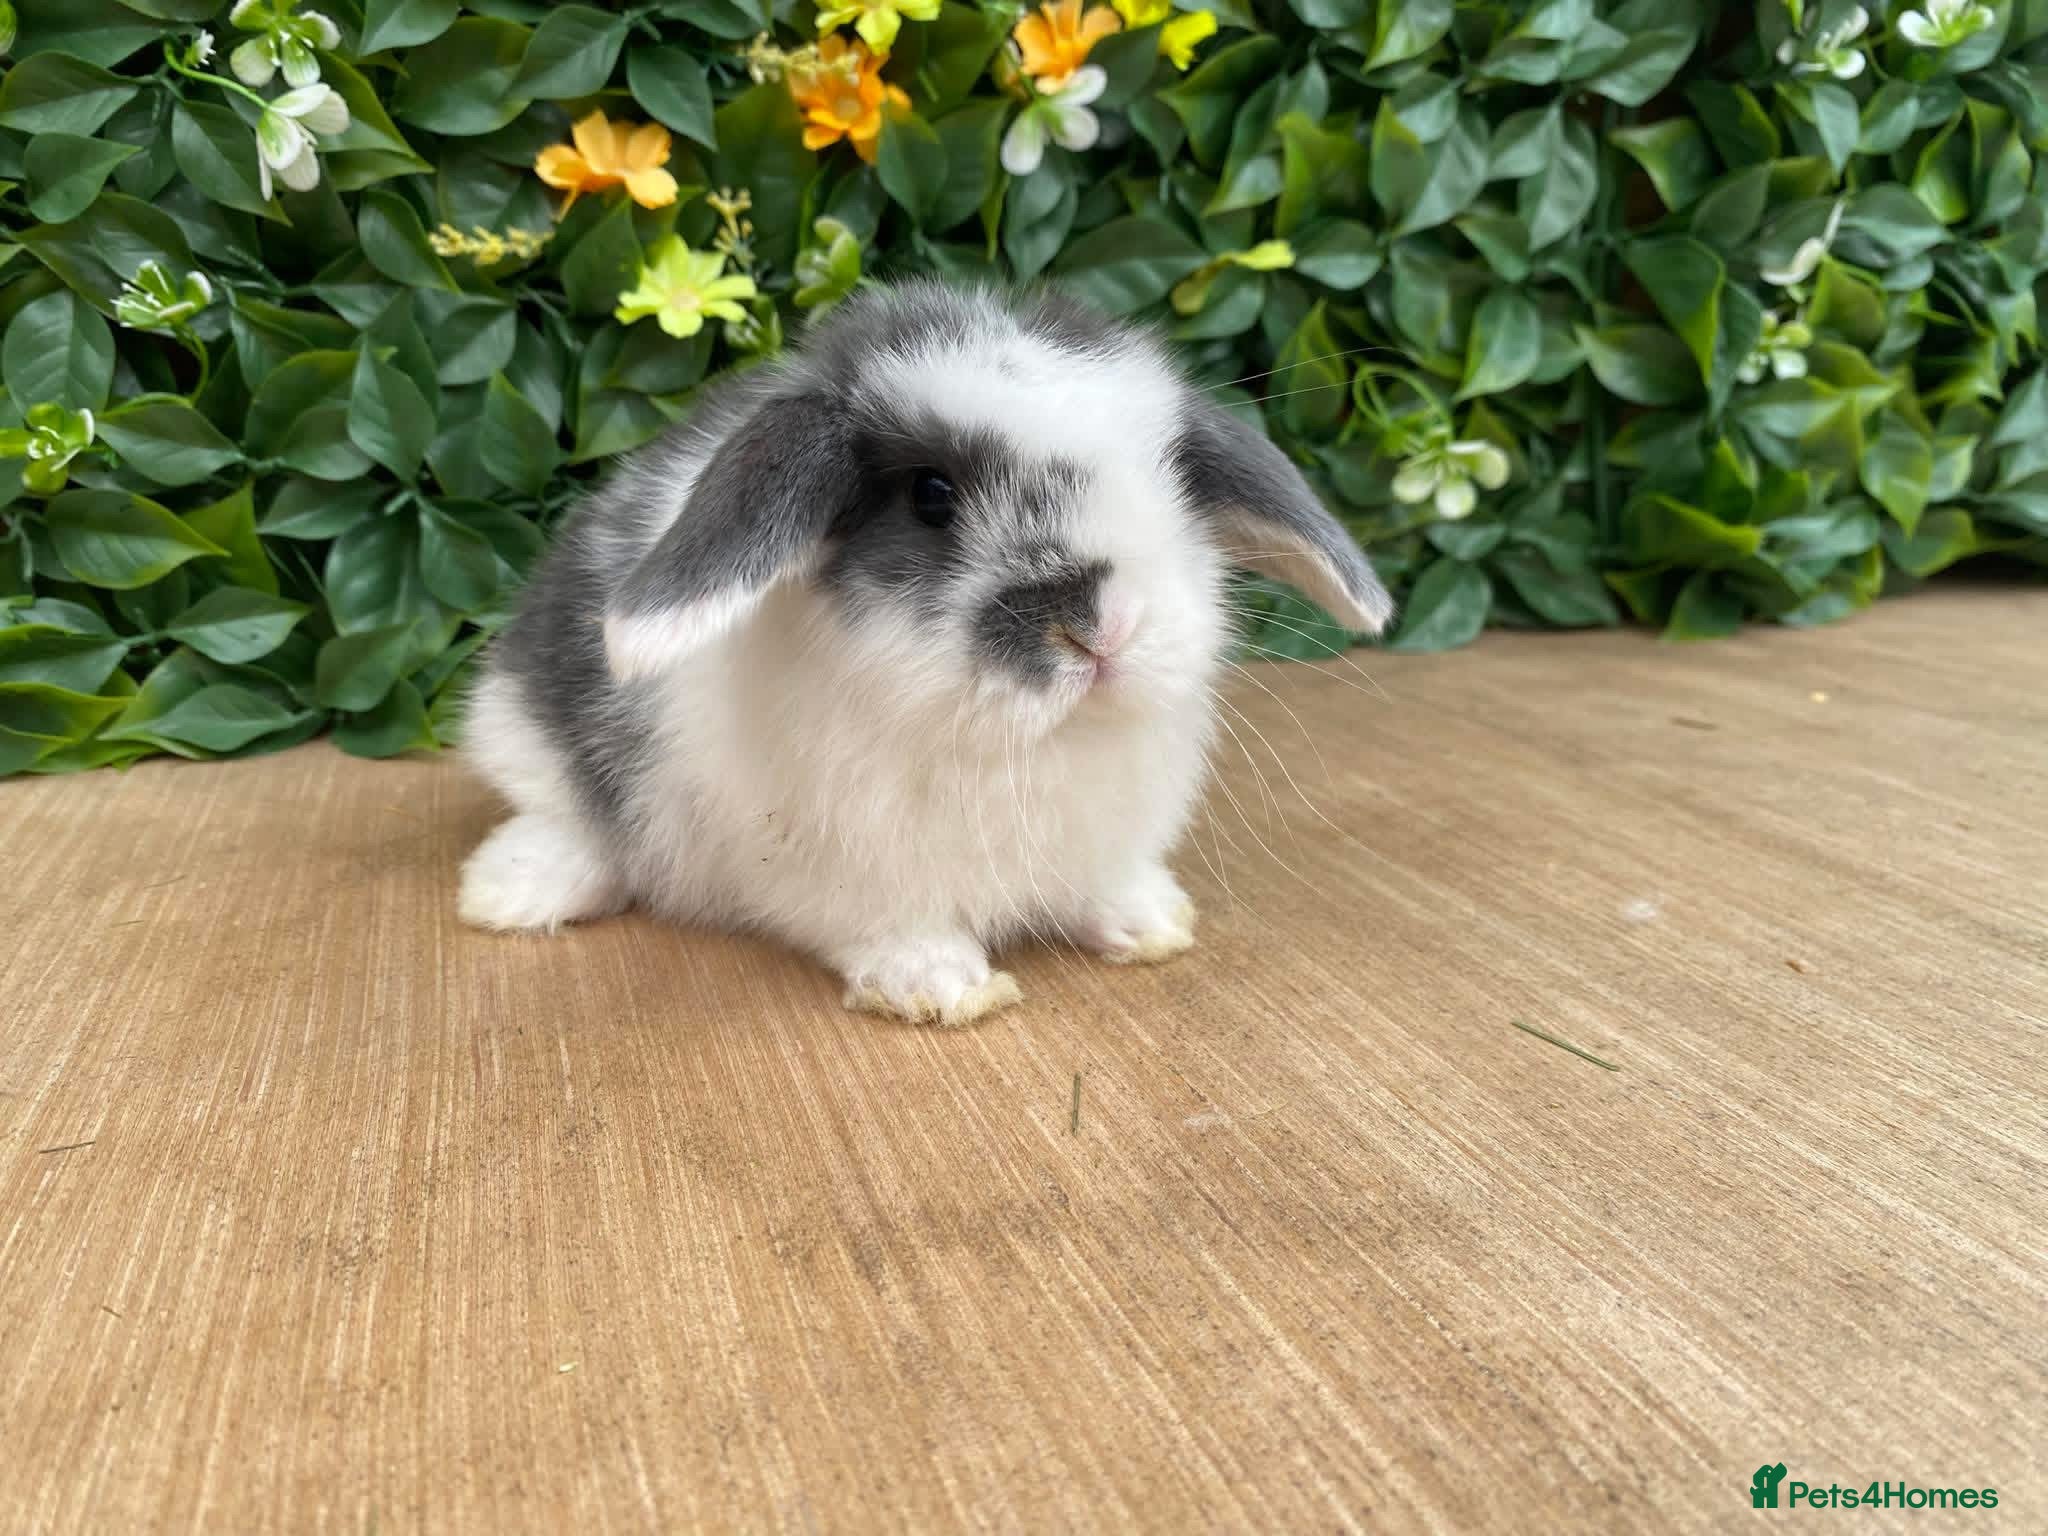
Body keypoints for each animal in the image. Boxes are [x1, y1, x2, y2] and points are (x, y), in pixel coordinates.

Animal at [457, 279, 1392, 1026]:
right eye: (931, 496)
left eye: (1171, 478)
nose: (1104, 627)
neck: (1019, 748)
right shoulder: (844, 867)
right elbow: (895, 924)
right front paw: (939, 986)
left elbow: (1106, 882)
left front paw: (1149, 922)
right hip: (520, 728)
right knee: (567, 815)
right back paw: (510, 892)